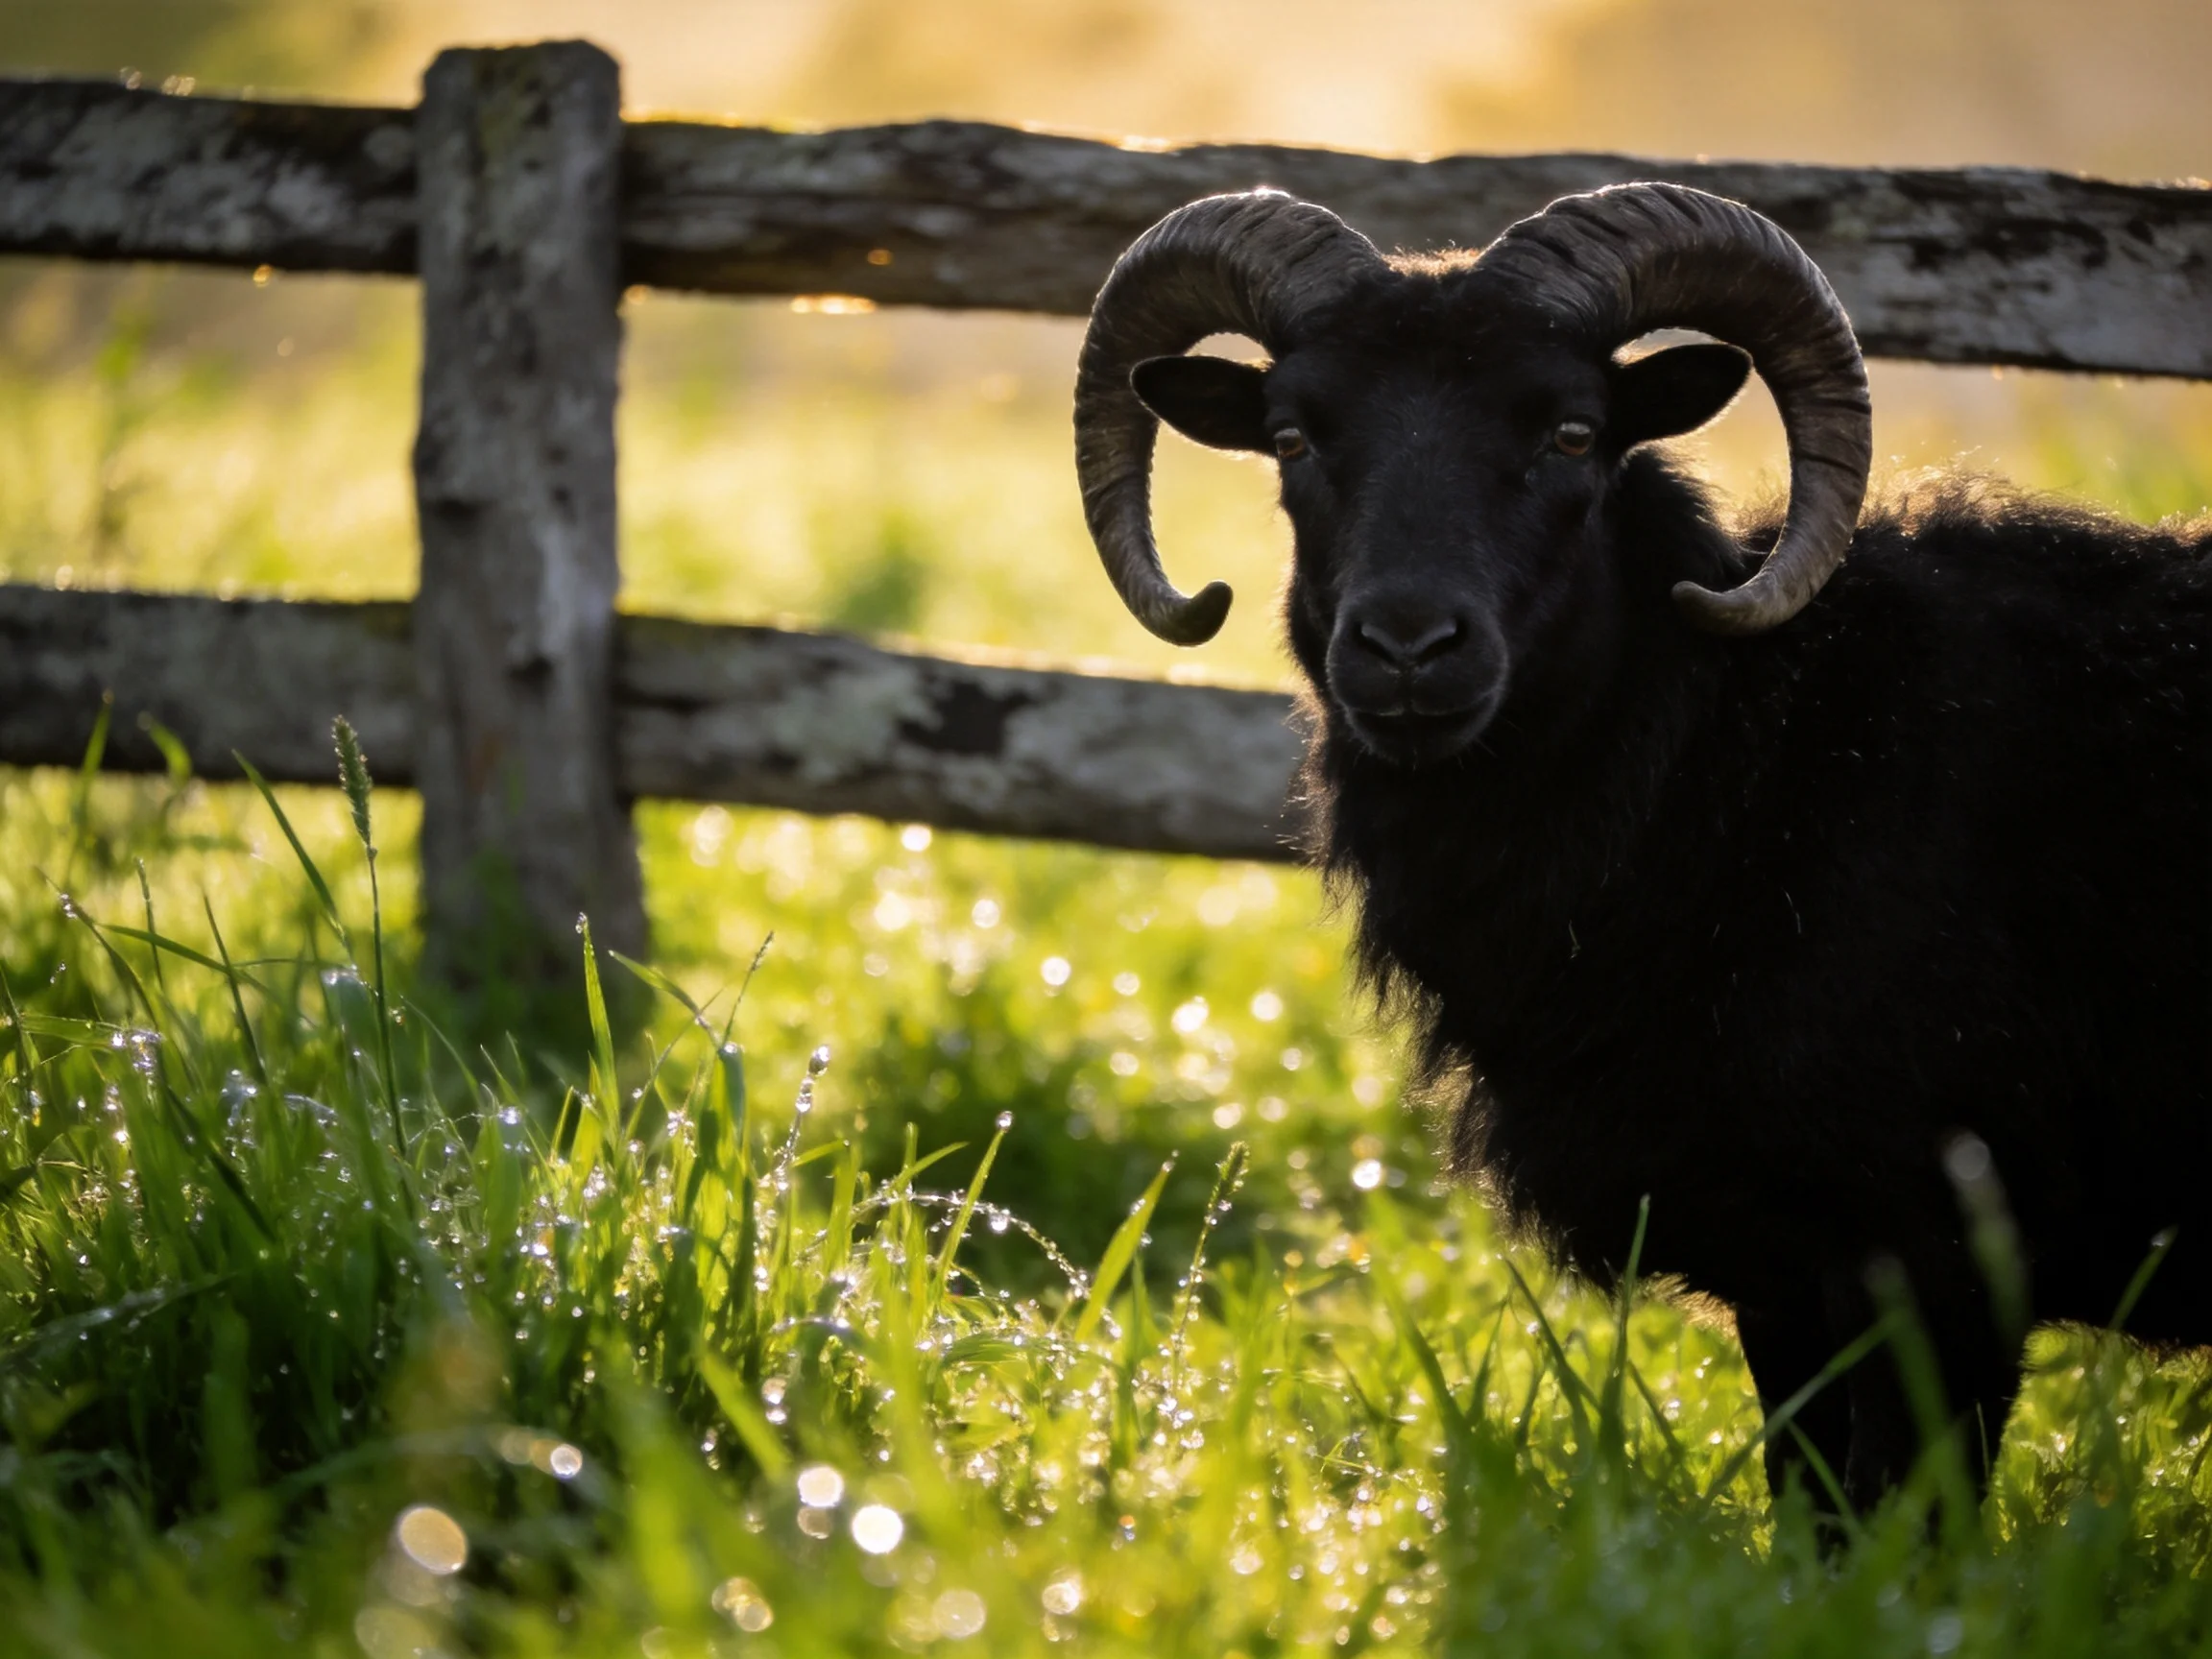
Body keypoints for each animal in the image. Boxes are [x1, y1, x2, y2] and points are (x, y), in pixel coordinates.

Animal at [1069, 183, 2211, 1513]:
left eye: (1573, 433)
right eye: (1294, 438)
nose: (1408, 648)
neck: (1755, 759)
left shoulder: (1950, 1252)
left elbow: (1904, 1519)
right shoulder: (1782, 1268)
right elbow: (1812, 1505)